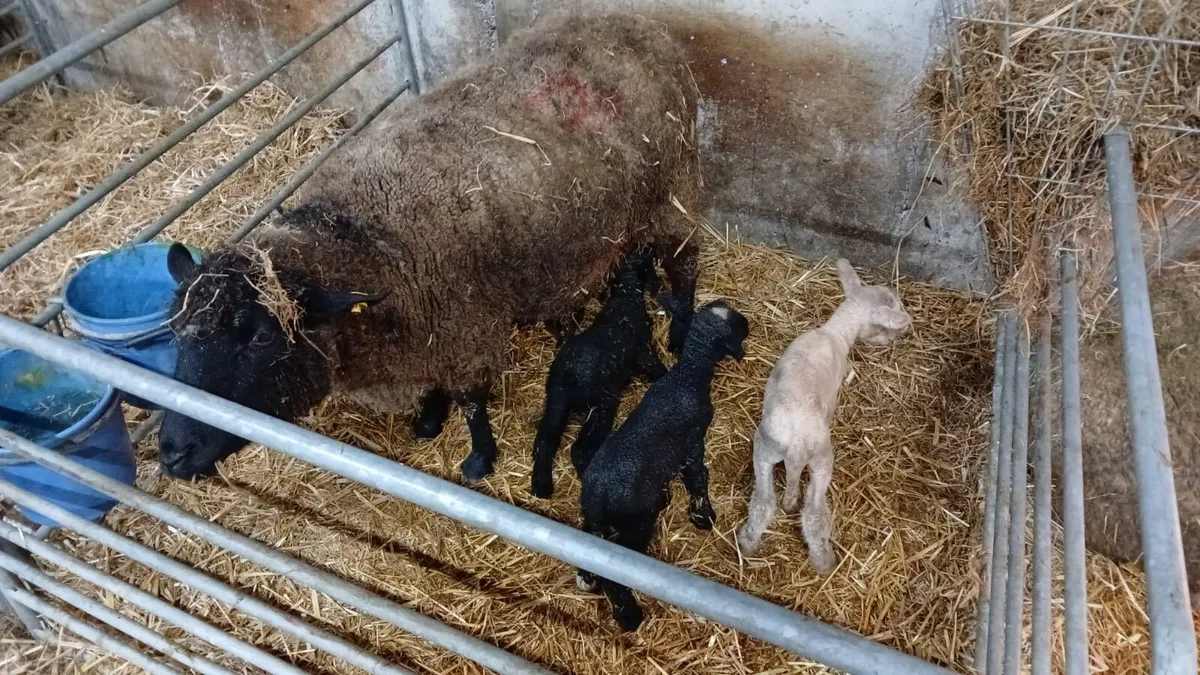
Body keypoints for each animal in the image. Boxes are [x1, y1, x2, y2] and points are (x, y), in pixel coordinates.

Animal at [531, 248, 666, 498]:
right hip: (602, 405)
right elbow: (655, 367)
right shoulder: (644, 351)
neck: (625, 296)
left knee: (545, 441)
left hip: (556, 401)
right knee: (579, 449)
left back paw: (541, 485)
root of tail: (569, 378)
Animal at [576, 300, 749, 631]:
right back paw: (629, 616)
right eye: (735, 324)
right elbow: (698, 476)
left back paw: (586, 576)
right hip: (636, 524)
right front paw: (704, 516)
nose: (749, 324)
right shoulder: (693, 443)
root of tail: (598, 495)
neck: (687, 378)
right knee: (616, 575)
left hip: (595, 519)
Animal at [736, 259, 911, 573]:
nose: (896, 336)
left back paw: (747, 543)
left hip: (764, 450)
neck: (835, 331)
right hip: (820, 461)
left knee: (764, 502)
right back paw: (825, 562)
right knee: (814, 514)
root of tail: (795, 448)